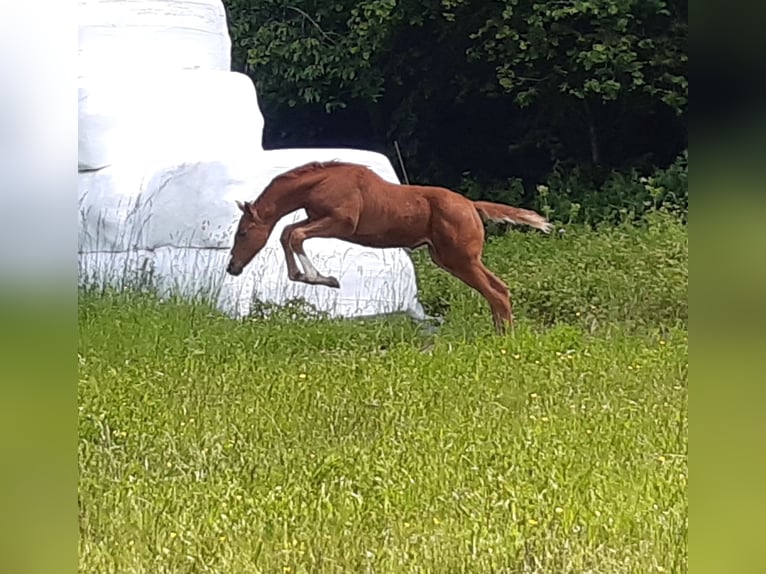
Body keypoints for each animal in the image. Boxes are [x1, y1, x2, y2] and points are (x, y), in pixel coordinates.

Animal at [225, 161, 556, 332]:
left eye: (243, 233)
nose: (232, 267)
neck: (322, 182)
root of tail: (472, 206)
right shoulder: (317, 218)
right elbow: (287, 232)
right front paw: (309, 277)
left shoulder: (341, 223)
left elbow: (293, 235)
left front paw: (323, 279)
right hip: (449, 259)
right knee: (499, 289)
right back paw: (501, 333)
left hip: (460, 258)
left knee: (496, 292)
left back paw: (504, 337)